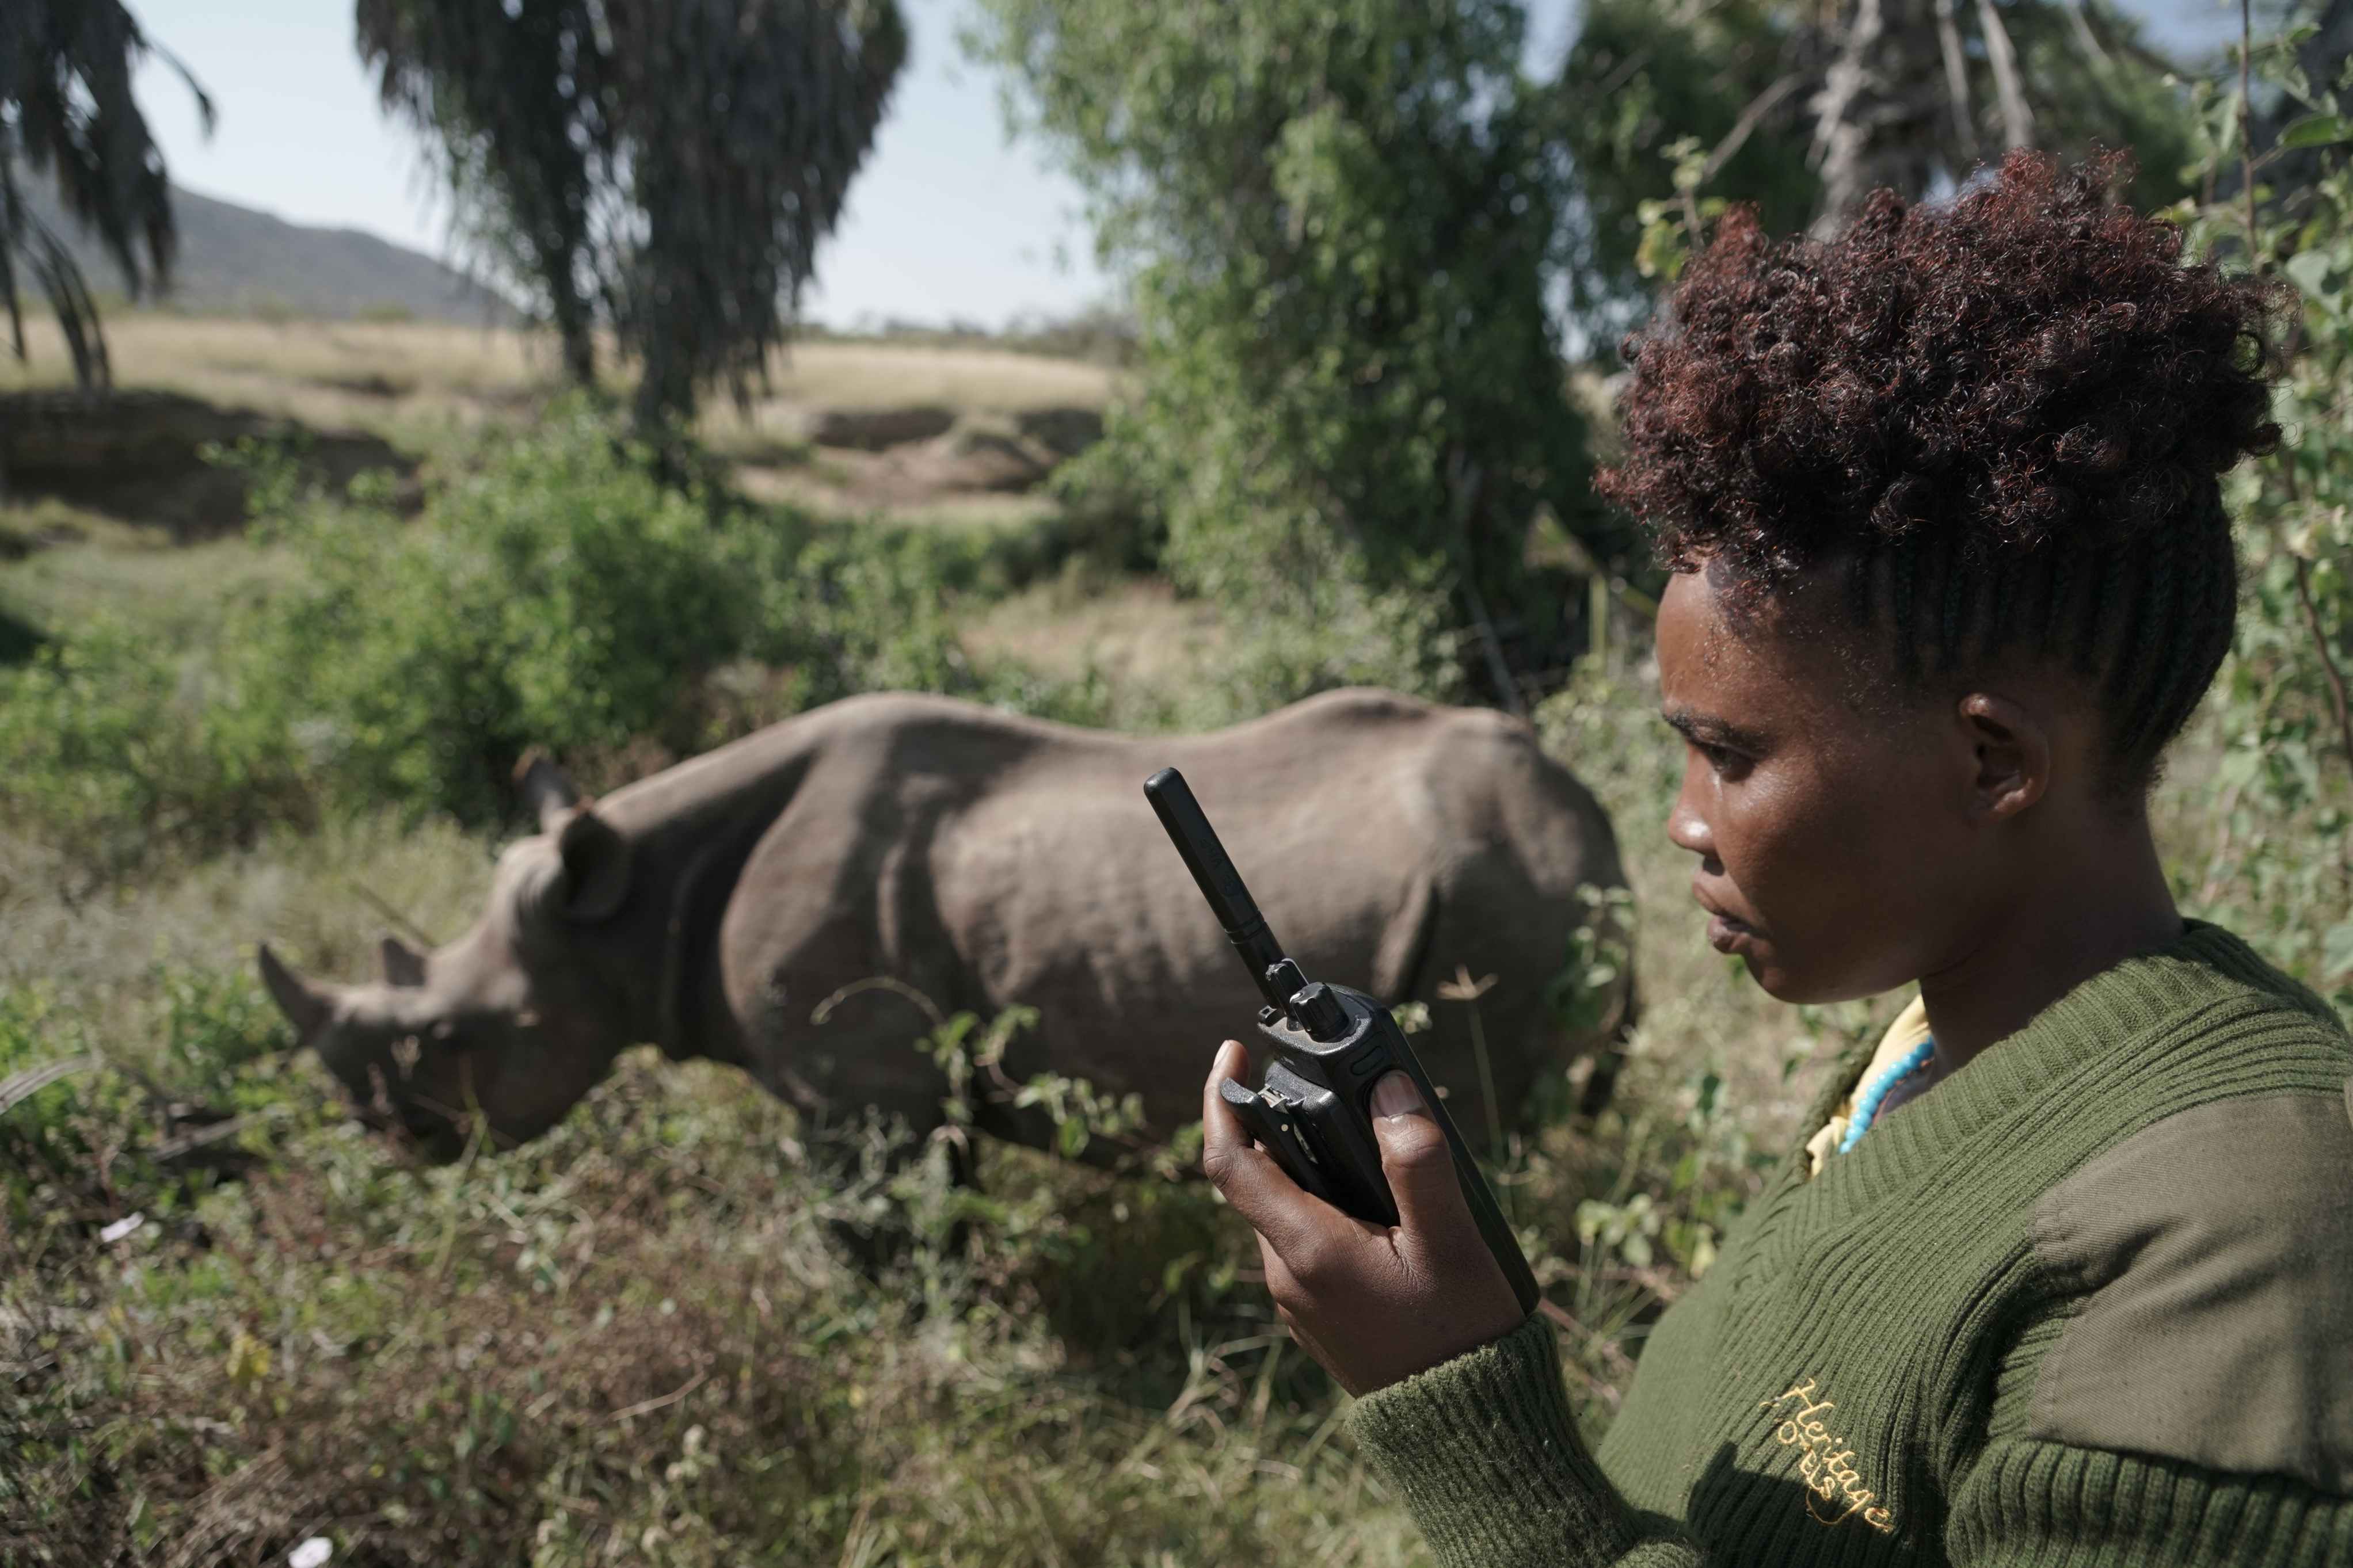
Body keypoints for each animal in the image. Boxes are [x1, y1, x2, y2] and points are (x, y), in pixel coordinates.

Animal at [258, 688, 1632, 1164]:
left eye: (458, 1041)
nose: (394, 1142)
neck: (629, 904)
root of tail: (1597, 817)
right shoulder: (899, 1084)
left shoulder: (850, 1090)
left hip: (1501, 897)